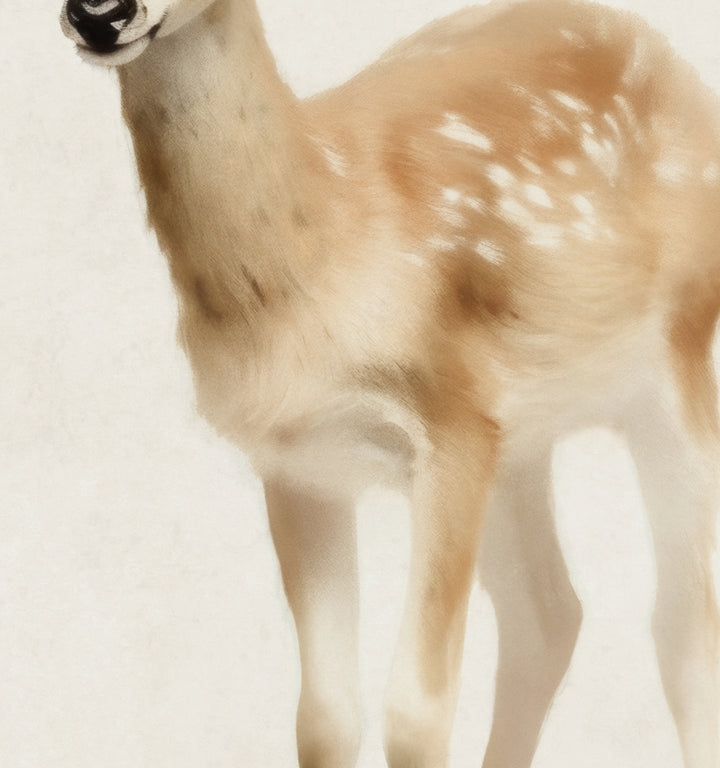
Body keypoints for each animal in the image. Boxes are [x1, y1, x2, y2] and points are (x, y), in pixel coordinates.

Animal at [59, 0, 720, 765]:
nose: (99, 15)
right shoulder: (300, 463)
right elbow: (325, 715)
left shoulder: (452, 422)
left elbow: (416, 711)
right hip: (521, 441)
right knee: (548, 616)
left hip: (674, 360)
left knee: (682, 625)